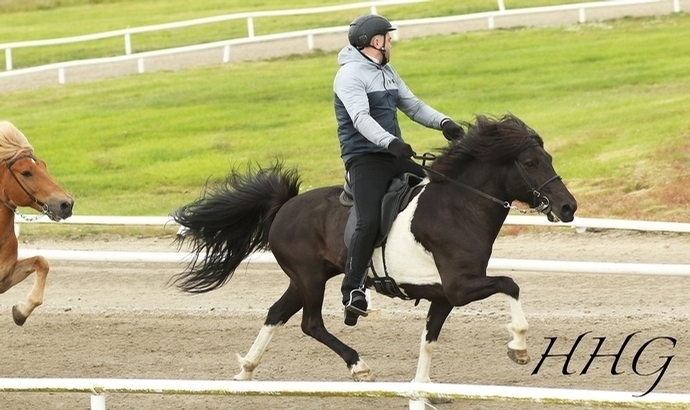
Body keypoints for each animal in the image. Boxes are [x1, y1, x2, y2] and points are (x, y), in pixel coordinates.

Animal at [0, 120, 73, 326]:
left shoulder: (4, 278)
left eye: (44, 165)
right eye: (26, 172)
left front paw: (21, 312)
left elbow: (41, 262)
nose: (67, 204)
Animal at [172, 114, 576, 384]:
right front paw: (519, 347)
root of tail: (285, 206)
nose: (568, 207)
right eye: (530, 162)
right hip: (310, 277)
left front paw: (421, 387)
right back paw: (359, 366)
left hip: (306, 278)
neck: (459, 207)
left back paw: (245, 372)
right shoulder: (461, 287)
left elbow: (429, 340)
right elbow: (511, 284)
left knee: (276, 313)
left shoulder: (444, 295)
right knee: (310, 323)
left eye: (550, 159)